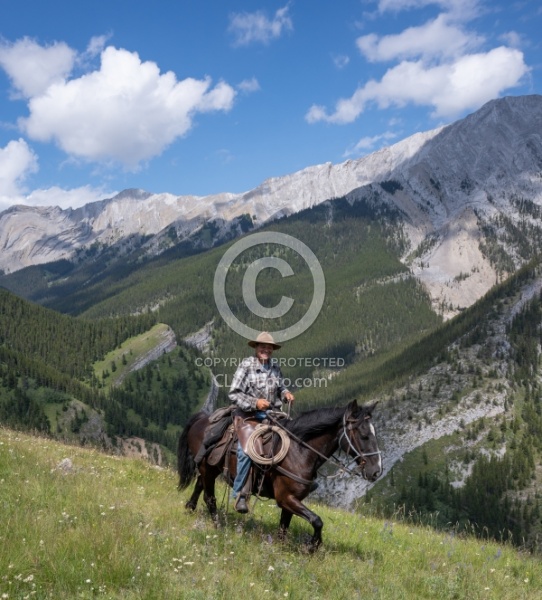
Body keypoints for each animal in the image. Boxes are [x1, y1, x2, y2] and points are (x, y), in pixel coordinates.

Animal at [178, 400, 382, 552]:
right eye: (364, 435)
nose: (376, 471)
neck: (298, 451)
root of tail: (203, 419)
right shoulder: (285, 498)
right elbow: (317, 520)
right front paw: (312, 546)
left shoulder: (291, 500)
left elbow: (284, 526)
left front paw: (281, 548)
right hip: (208, 468)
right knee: (209, 497)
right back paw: (218, 526)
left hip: (211, 468)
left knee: (199, 484)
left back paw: (190, 507)